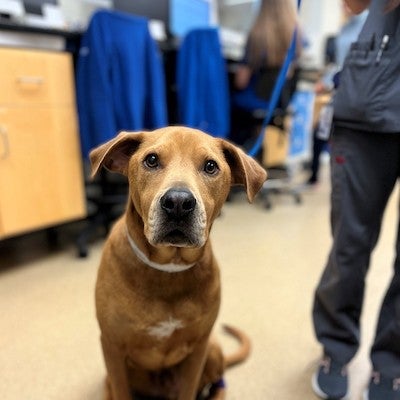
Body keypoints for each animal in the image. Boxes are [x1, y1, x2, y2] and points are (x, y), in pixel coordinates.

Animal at [90, 126, 266, 400]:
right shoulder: (112, 347)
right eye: (151, 160)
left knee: (219, 384)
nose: (179, 203)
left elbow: (190, 388)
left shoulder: (198, 349)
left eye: (210, 166)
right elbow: (121, 390)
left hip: (212, 348)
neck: (169, 267)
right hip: (110, 377)